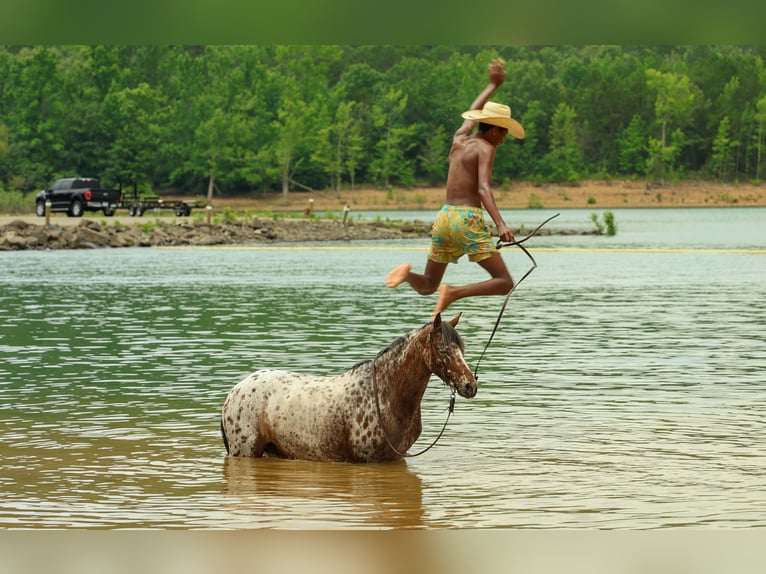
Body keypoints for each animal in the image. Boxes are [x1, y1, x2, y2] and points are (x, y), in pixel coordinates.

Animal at [220, 313, 477, 463]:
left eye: (462, 349)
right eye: (443, 350)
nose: (470, 385)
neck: (385, 393)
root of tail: (234, 391)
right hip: (245, 451)